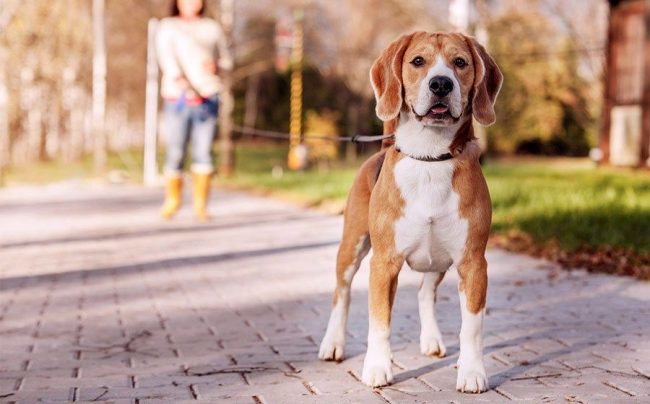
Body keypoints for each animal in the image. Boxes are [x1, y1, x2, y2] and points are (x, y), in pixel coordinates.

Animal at [318, 32, 502, 394]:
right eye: (418, 61)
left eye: (460, 62)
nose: (441, 84)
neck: (430, 157)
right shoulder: (384, 263)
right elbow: (379, 322)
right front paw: (377, 368)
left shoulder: (473, 263)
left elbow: (472, 327)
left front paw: (472, 372)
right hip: (352, 246)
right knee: (341, 294)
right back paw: (333, 343)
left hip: (439, 260)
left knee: (424, 293)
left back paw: (431, 339)